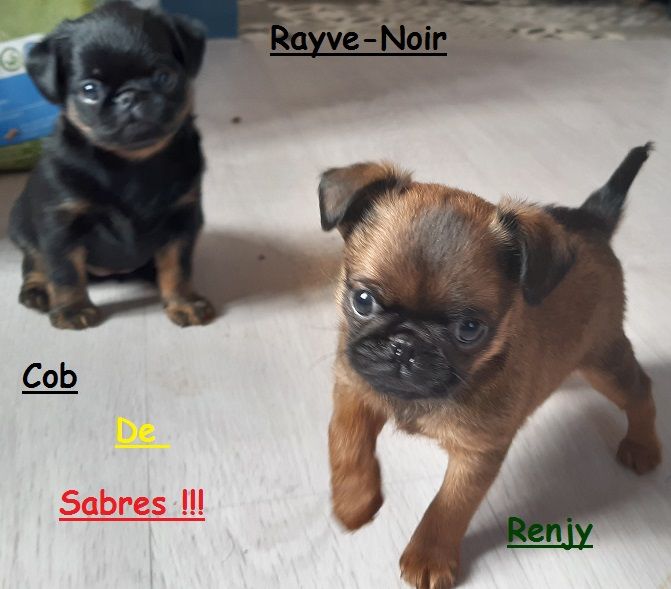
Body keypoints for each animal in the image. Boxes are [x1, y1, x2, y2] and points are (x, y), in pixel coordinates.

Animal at [9, 1, 214, 329]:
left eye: (164, 77)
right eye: (90, 90)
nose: (130, 95)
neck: (132, 164)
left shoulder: (182, 220)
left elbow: (177, 267)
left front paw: (183, 301)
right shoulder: (60, 225)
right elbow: (65, 271)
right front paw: (73, 309)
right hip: (21, 226)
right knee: (35, 261)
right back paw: (38, 290)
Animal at [319, 144, 661, 588]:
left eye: (469, 329)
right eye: (362, 301)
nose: (403, 346)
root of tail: (590, 220)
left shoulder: (477, 452)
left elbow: (449, 506)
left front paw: (429, 557)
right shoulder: (354, 387)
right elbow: (346, 441)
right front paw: (354, 500)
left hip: (603, 361)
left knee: (640, 390)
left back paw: (643, 445)